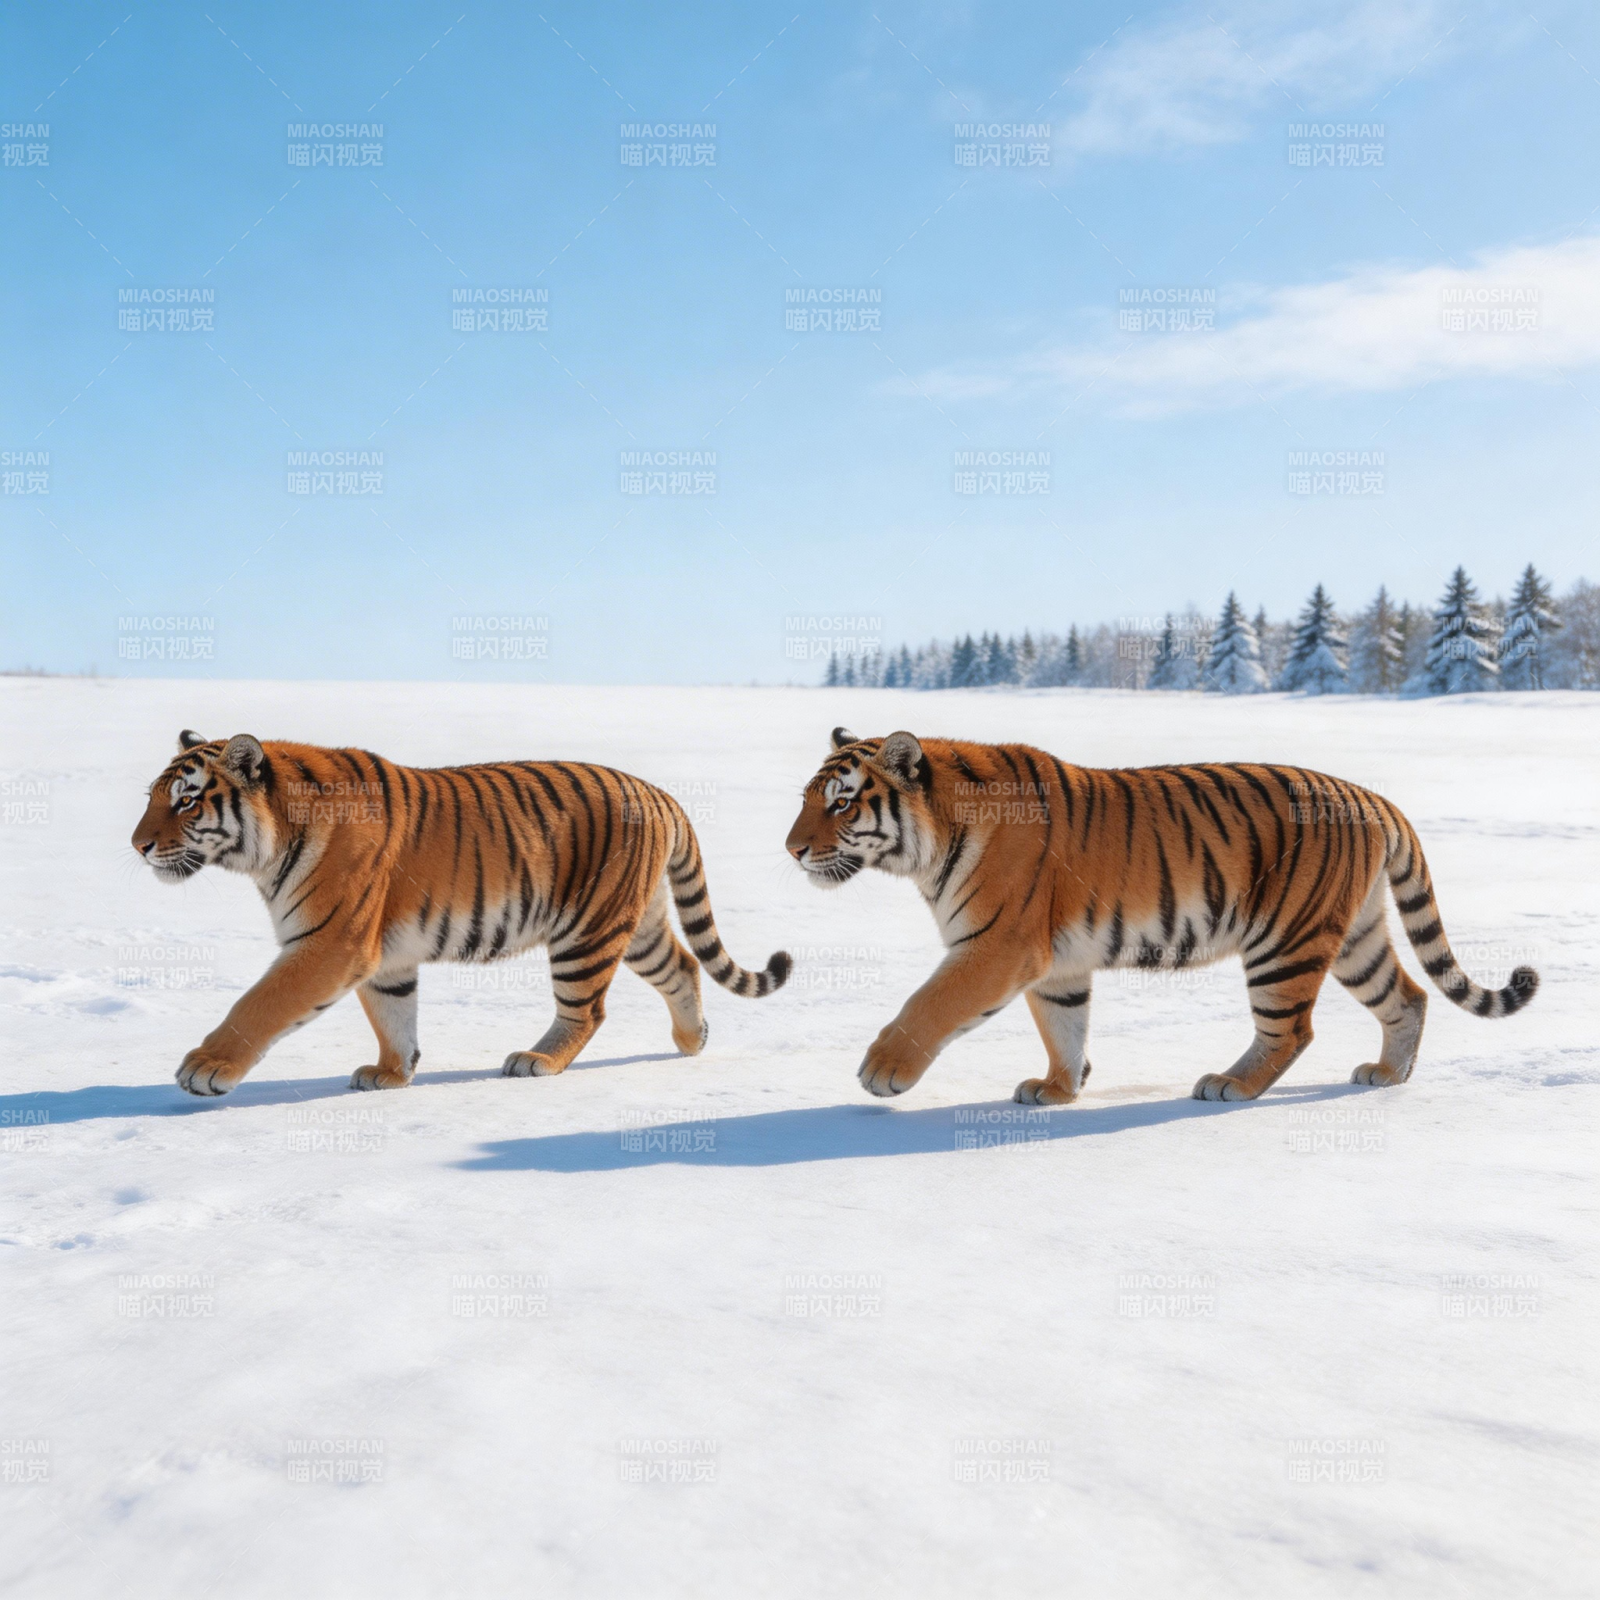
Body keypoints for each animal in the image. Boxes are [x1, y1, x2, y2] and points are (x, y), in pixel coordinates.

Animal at [132, 731, 790, 1096]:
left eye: (186, 801)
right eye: (152, 797)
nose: (137, 845)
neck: (267, 852)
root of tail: (661, 793)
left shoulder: (330, 942)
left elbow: (258, 1005)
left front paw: (205, 1067)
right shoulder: (383, 956)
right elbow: (393, 1017)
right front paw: (391, 1074)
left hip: (587, 931)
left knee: (587, 1009)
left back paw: (538, 1060)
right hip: (636, 925)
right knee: (683, 965)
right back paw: (691, 1041)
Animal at [785, 728, 1538, 1104]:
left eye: (842, 803)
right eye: (807, 799)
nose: (791, 850)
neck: (931, 845)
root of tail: (1373, 796)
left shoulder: (997, 946)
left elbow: (928, 1005)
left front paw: (882, 1070)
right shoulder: (1057, 965)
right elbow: (1064, 1027)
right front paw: (1057, 1089)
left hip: (1285, 940)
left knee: (1291, 1030)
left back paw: (1231, 1085)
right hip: (1355, 936)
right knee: (1408, 996)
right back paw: (1388, 1076)